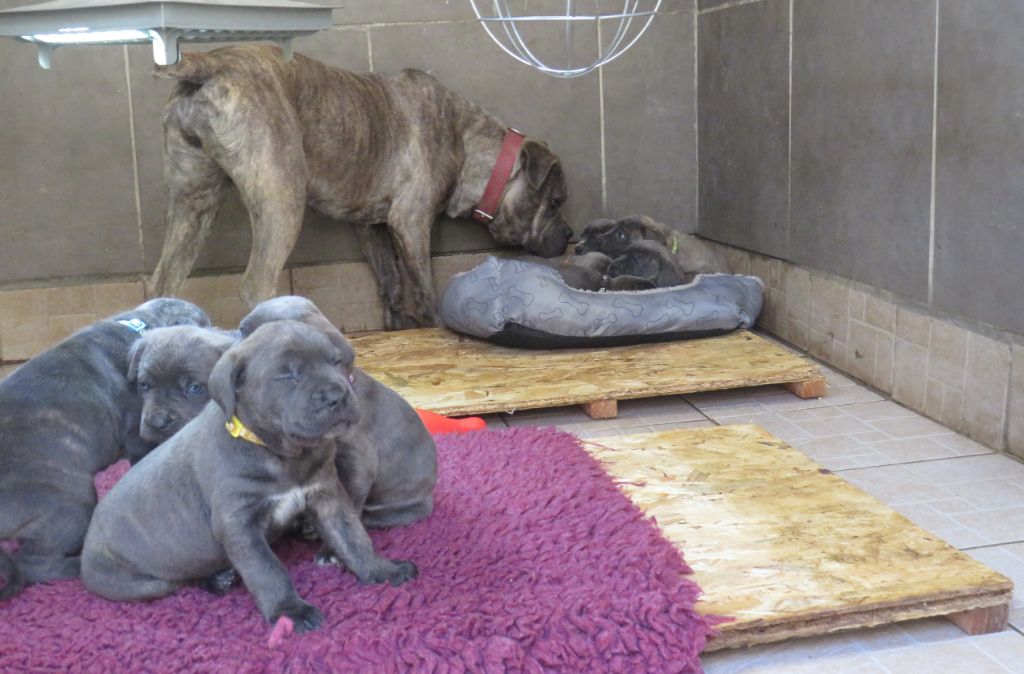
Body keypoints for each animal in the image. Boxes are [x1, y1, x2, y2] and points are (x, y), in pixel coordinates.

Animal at [79, 319, 415, 630]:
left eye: (335, 362)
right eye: (287, 374)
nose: (337, 395)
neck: (281, 453)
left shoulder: (327, 496)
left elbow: (353, 538)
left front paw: (382, 571)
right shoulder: (238, 524)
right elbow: (267, 570)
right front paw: (289, 611)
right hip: (144, 582)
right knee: (178, 580)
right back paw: (217, 579)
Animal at [147, 43, 573, 327]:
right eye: (555, 201)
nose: (569, 234)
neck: (466, 140)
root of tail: (214, 62)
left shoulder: (372, 227)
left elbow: (391, 284)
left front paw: (399, 327)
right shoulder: (411, 223)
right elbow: (424, 287)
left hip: (193, 203)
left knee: (162, 283)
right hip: (281, 200)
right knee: (257, 285)